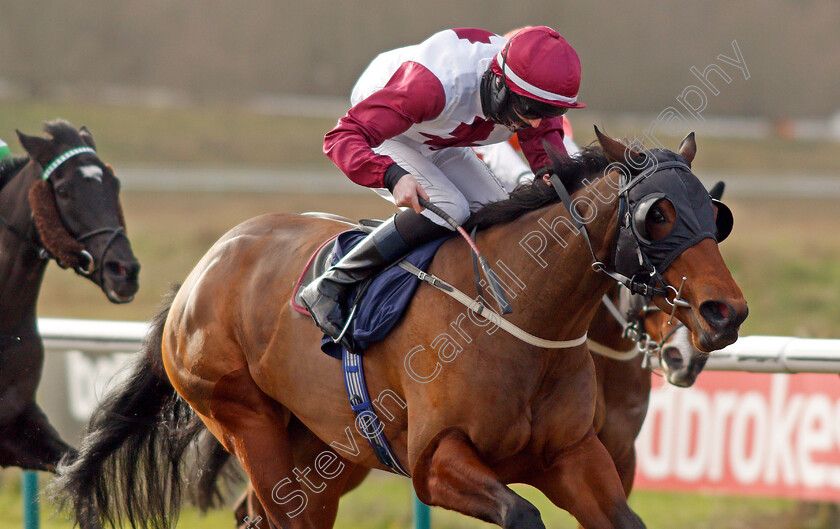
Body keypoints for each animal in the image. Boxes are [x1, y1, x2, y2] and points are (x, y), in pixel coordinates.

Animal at [55, 129, 744, 528]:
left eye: (716, 214)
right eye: (658, 215)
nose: (725, 313)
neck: (519, 318)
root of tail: (203, 270)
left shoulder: (579, 455)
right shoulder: (435, 463)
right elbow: (520, 514)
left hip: (321, 446)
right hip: (245, 422)